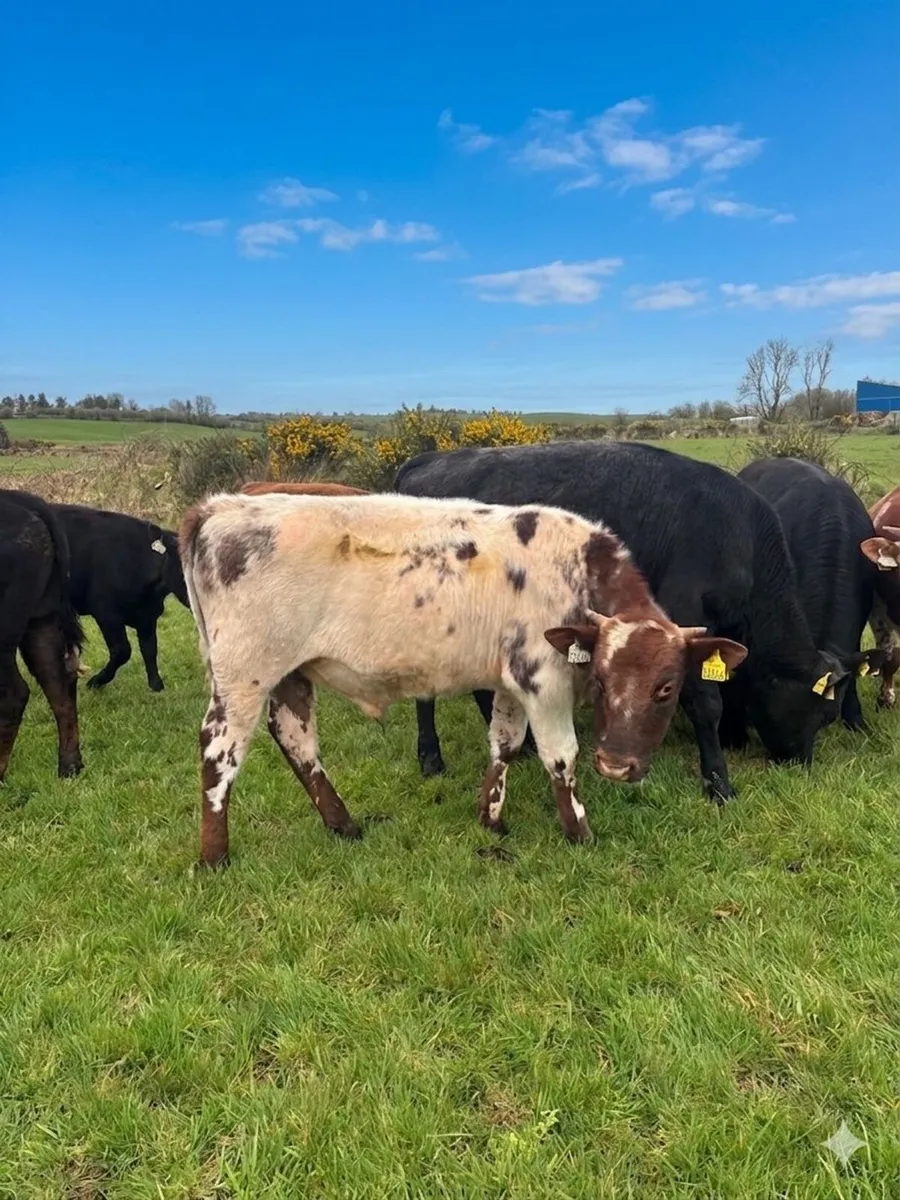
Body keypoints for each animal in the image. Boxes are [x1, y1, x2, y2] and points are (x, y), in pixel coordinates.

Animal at [53, 505, 189, 692]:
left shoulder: (148, 615)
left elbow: (149, 649)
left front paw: (156, 686)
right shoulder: (107, 613)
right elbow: (123, 651)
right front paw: (95, 681)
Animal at [179, 491, 746, 866]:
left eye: (666, 688)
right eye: (604, 682)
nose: (616, 765)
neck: (578, 572)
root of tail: (220, 507)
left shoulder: (512, 680)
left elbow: (505, 743)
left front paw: (491, 817)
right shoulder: (542, 679)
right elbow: (560, 756)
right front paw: (580, 832)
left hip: (291, 673)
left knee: (297, 740)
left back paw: (343, 825)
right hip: (244, 674)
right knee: (219, 751)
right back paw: (215, 856)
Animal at [395, 441, 863, 799]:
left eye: (830, 717)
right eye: (818, 714)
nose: (797, 762)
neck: (738, 536)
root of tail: (429, 461)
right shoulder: (684, 614)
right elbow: (705, 702)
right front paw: (718, 781)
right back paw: (431, 757)